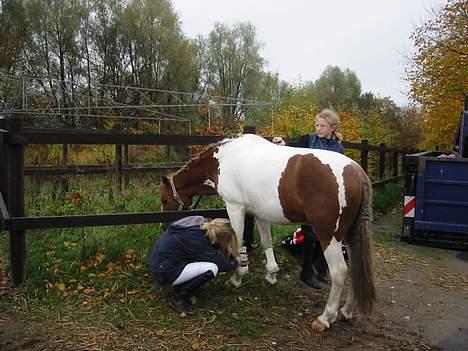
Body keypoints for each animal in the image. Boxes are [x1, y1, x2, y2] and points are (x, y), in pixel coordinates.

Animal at [161, 133, 376, 332]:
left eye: (164, 199)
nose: (164, 226)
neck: (224, 158)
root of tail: (357, 172)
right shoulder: (260, 213)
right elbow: (266, 242)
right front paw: (271, 274)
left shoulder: (235, 207)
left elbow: (238, 242)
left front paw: (236, 279)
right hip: (349, 235)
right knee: (355, 267)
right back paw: (346, 311)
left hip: (328, 235)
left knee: (339, 272)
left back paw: (325, 318)